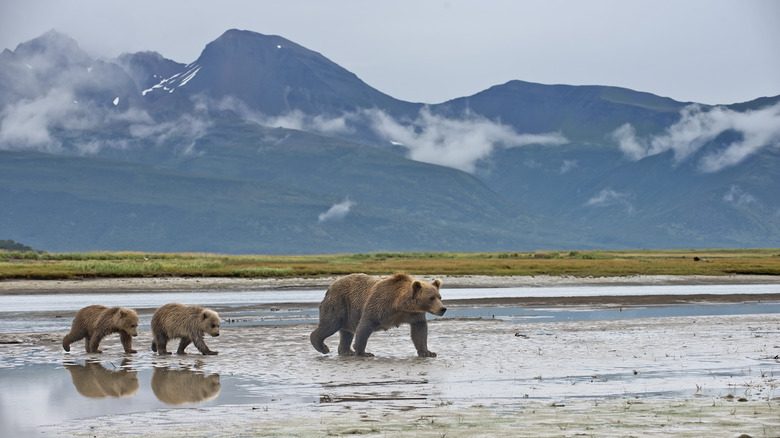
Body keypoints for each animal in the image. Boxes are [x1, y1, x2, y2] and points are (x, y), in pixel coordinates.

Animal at [310, 274, 444, 356]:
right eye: (431, 298)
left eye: (439, 297)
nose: (443, 308)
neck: (400, 305)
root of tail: (330, 287)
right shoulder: (380, 304)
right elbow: (365, 325)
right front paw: (364, 352)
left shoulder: (414, 314)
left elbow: (420, 330)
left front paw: (428, 352)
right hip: (339, 303)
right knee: (330, 325)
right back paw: (323, 347)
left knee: (346, 333)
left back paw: (347, 351)